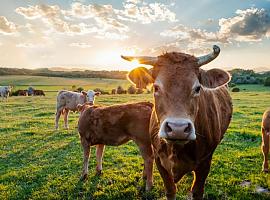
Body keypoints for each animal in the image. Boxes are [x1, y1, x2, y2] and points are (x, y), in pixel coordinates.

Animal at [121, 45, 233, 200]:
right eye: (156, 87)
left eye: (198, 88)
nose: (178, 128)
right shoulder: (159, 160)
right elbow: (170, 190)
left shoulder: (205, 162)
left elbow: (197, 191)